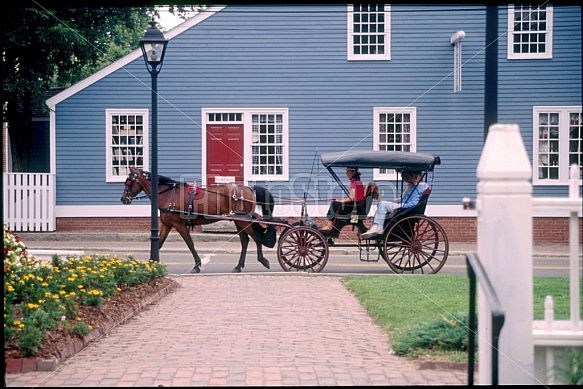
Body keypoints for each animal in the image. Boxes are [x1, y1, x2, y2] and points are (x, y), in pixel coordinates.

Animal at [120, 165, 276, 272]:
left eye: (128, 181)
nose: (123, 198)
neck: (169, 195)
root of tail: (249, 189)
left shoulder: (179, 225)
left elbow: (190, 243)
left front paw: (197, 265)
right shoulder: (166, 225)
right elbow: (158, 244)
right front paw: (150, 264)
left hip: (242, 221)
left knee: (256, 238)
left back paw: (262, 260)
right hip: (239, 221)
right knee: (245, 241)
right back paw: (238, 266)